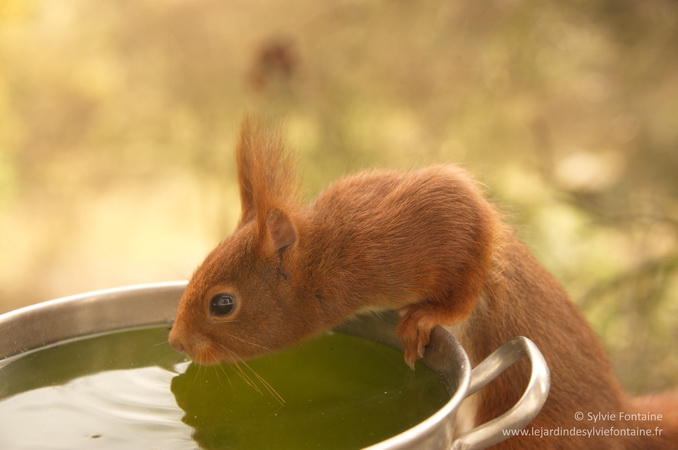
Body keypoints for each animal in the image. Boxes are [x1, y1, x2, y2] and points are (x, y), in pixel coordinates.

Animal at [169, 118, 676, 448]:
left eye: (222, 304)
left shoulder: (421, 226)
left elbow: (469, 253)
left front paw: (426, 318)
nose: (176, 342)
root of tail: (622, 420)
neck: (325, 261)